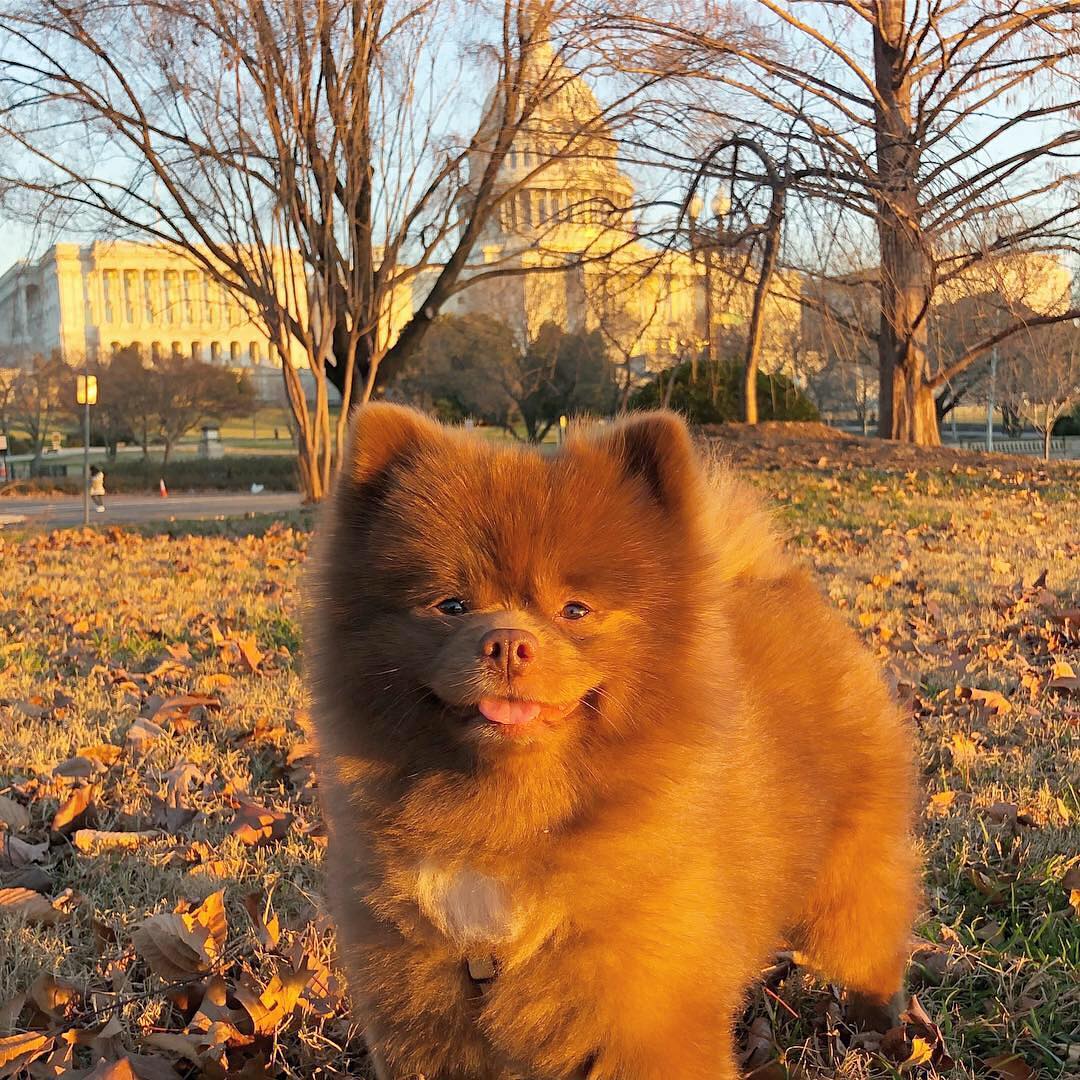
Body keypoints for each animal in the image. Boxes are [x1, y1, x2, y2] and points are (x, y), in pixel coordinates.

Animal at [306, 401, 920, 1075]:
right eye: (451, 605)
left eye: (575, 610)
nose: (507, 642)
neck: (511, 819)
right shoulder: (421, 1016)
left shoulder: (646, 1017)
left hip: (847, 876)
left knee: (871, 944)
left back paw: (882, 1027)